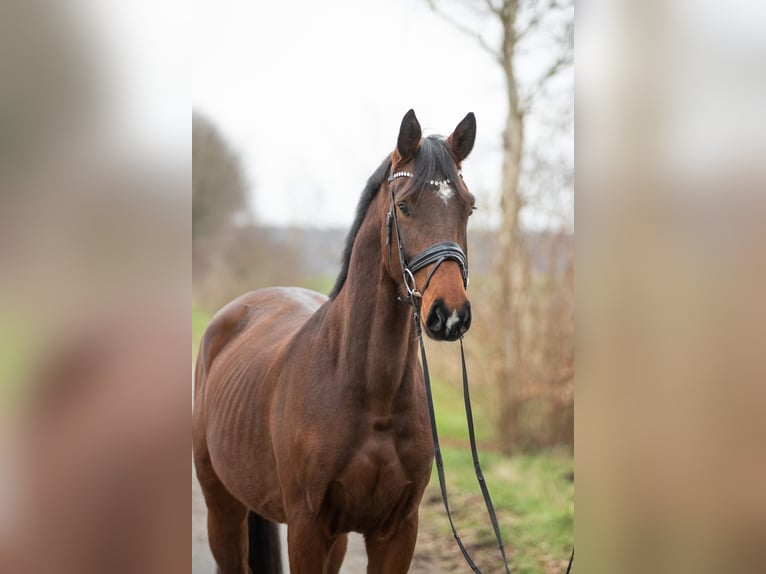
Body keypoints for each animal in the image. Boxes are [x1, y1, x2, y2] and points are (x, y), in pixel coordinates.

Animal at [195, 110, 476, 572]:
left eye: (469, 207)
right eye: (405, 206)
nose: (449, 314)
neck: (370, 393)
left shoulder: (397, 532)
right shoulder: (307, 529)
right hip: (223, 507)